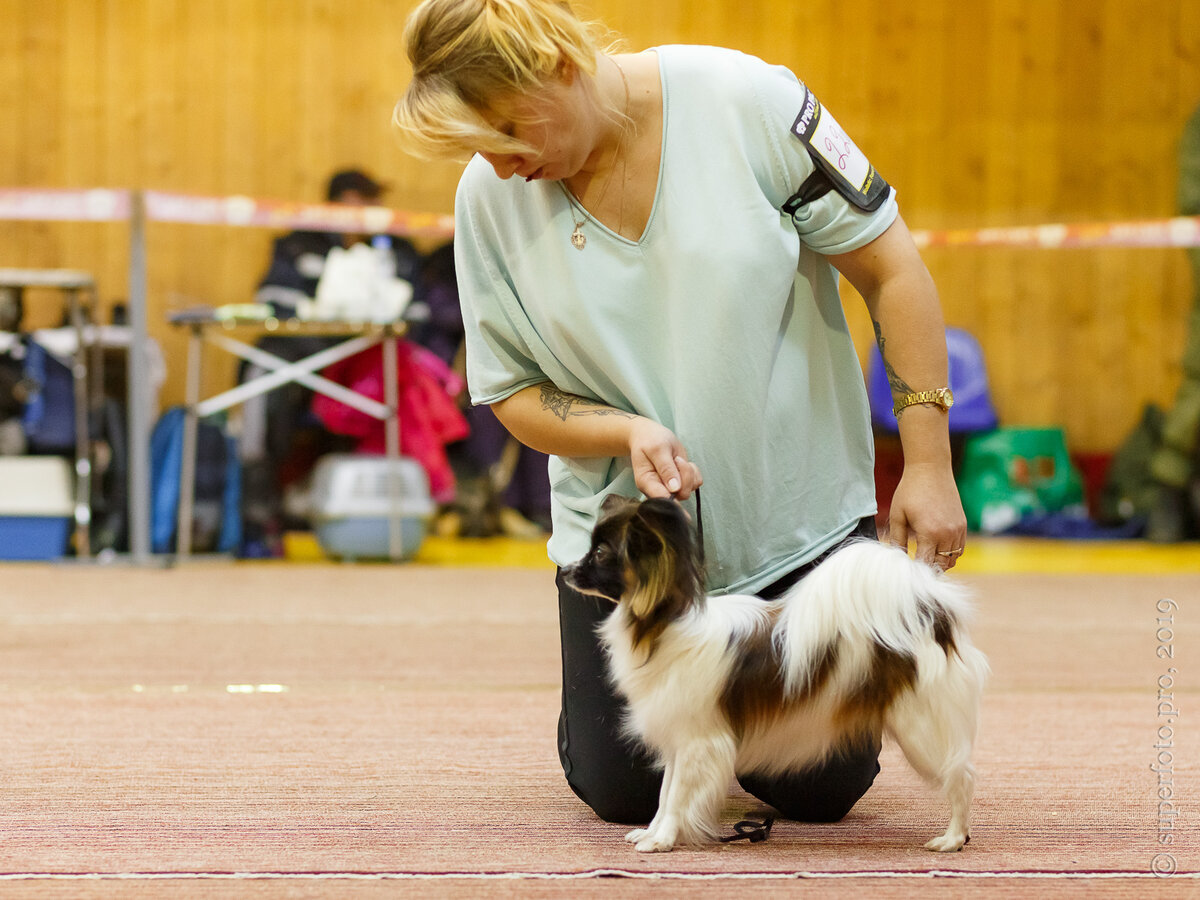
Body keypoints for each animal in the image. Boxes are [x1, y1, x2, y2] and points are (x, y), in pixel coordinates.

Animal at [559, 496, 984, 854]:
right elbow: (666, 794)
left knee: (961, 776)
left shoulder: (699, 743)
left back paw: (952, 839)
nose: (566, 571)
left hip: (921, 729)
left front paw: (661, 840)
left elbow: (677, 795)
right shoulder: (680, 739)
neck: (663, 625)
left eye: (600, 554)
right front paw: (654, 831)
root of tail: (931, 614)